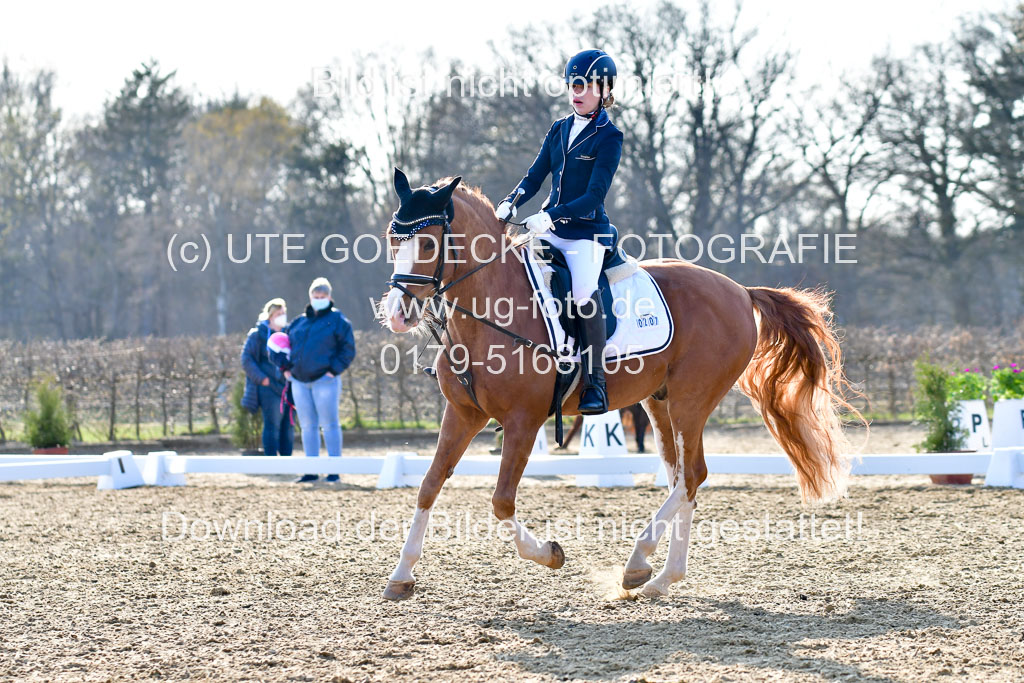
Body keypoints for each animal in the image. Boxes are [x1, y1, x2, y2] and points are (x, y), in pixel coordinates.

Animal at [376, 172, 856, 602]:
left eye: (428, 243)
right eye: (392, 240)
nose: (398, 314)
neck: (490, 311)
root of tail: (739, 290)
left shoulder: (523, 421)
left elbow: (501, 502)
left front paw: (550, 553)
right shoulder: (463, 414)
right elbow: (429, 484)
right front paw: (401, 576)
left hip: (692, 401)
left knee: (692, 476)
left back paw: (638, 563)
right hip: (659, 404)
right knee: (683, 477)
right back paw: (662, 578)